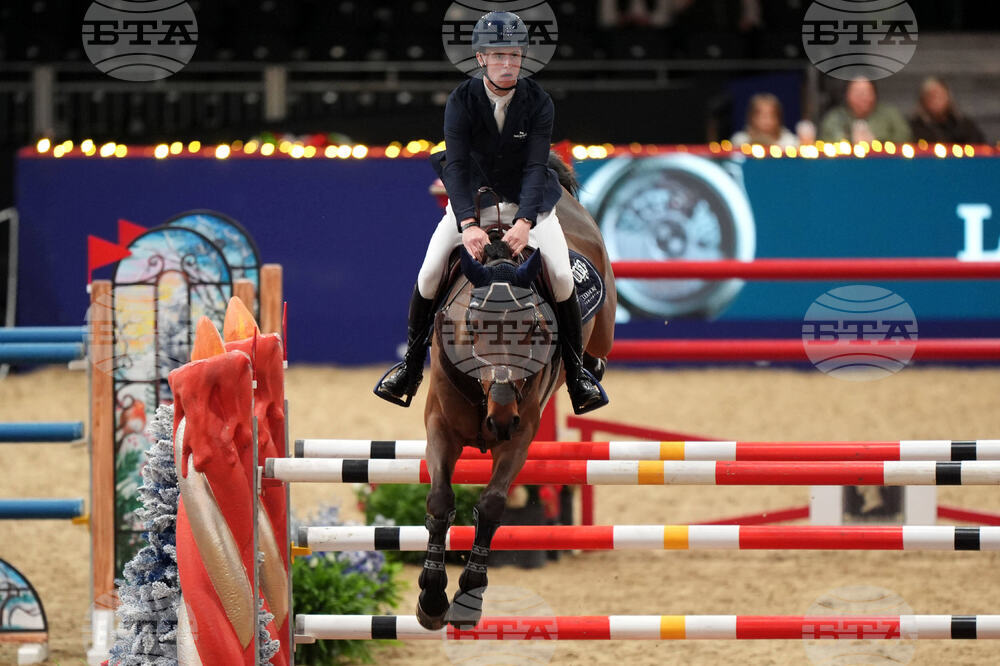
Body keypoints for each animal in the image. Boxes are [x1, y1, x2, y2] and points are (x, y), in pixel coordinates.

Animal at [416, 156, 616, 630]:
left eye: (535, 328)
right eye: (472, 327)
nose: (501, 419)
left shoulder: (522, 436)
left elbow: (491, 504)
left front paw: (469, 595)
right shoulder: (440, 426)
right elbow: (440, 499)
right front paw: (431, 597)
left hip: (602, 321)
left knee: (597, 348)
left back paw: (589, 374)